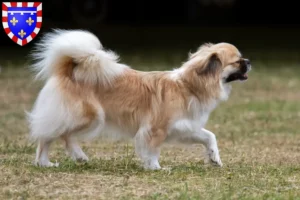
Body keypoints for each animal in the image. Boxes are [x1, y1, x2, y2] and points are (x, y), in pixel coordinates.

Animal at [28, 29, 251, 169]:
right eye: (237, 61)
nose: (248, 61)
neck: (188, 86)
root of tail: (68, 69)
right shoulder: (155, 129)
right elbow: (152, 150)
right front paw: (155, 167)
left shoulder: (185, 127)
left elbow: (209, 137)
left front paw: (214, 159)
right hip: (88, 117)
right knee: (50, 136)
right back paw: (45, 163)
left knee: (64, 137)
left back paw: (73, 158)